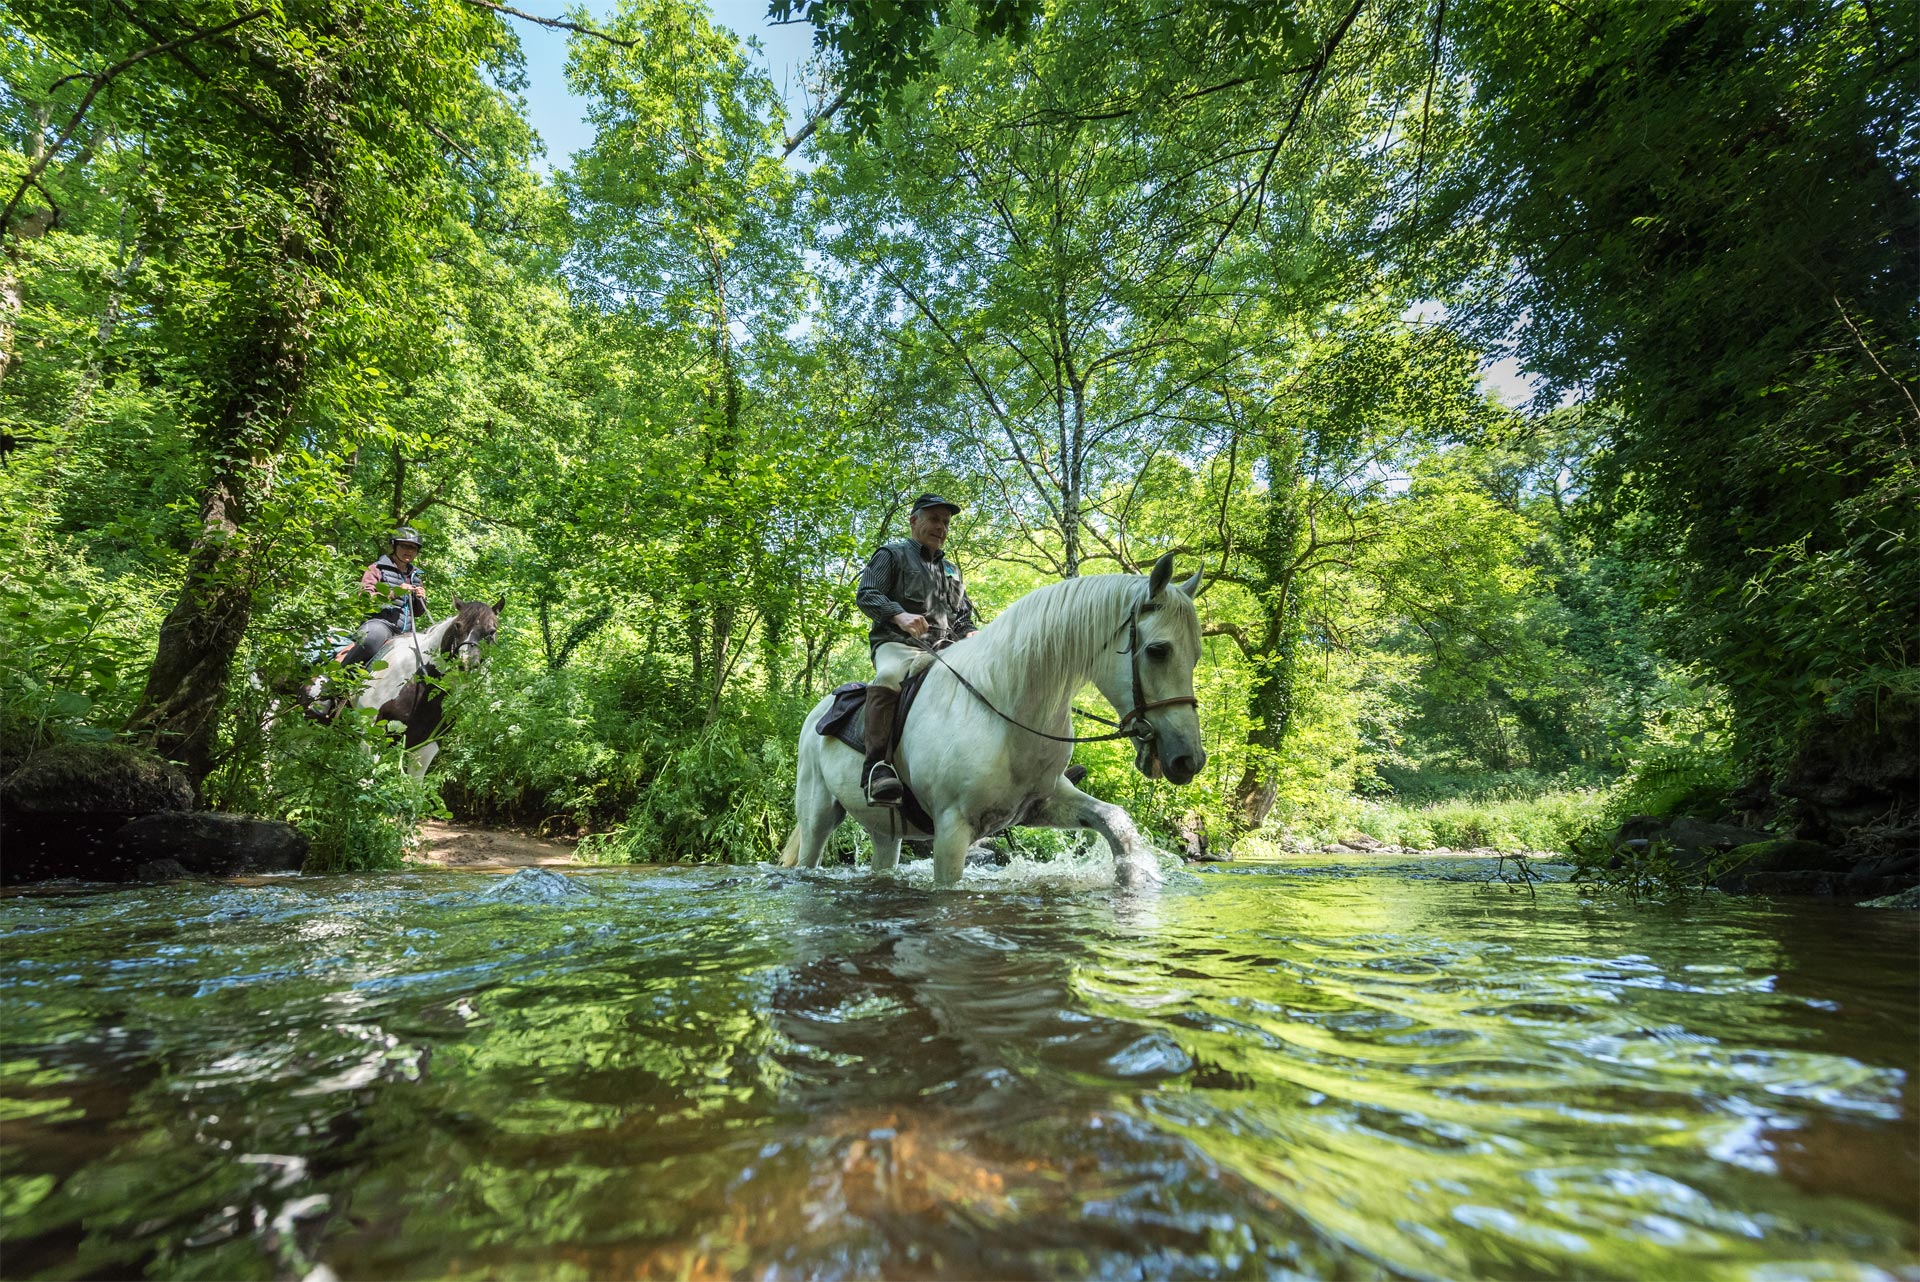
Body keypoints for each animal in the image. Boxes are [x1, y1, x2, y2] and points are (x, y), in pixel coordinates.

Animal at [775, 552, 1198, 890]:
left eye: (1196, 654)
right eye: (1158, 650)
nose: (1188, 760)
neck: (1007, 712)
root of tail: (817, 713)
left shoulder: (1042, 804)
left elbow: (1115, 822)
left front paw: (1134, 880)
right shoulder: (952, 830)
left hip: (884, 830)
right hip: (818, 816)